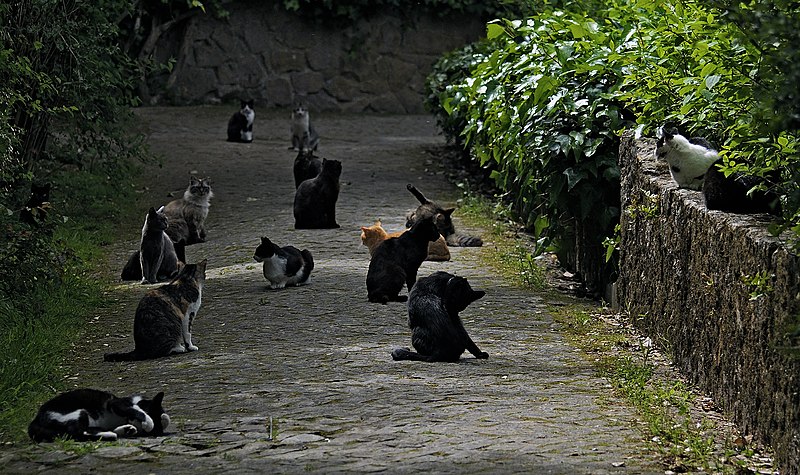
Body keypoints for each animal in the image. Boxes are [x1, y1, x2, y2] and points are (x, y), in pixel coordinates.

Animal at [28, 388, 170, 444]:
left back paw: (117, 432)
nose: (134, 424)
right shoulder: (115, 404)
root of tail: (35, 419)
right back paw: (110, 435)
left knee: (82, 432)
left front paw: (127, 429)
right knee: (76, 433)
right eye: (150, 412)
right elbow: (135, 410)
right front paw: (148, 421)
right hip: (79, 413)